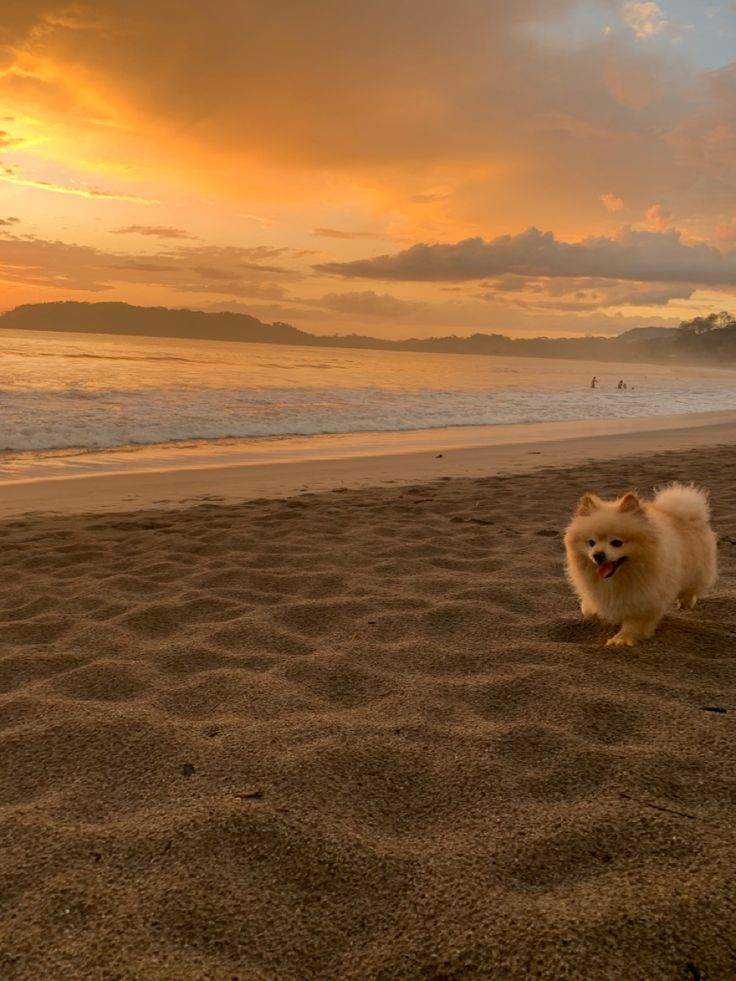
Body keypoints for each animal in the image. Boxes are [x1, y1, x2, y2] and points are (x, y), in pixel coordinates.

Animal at [568, 480, 716, 644]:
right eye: (591, 543)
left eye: (616, 543)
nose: (598, 555)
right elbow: (588, 609)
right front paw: (592, 610)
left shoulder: (646, 597)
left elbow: (635, 622)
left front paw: (622, 639)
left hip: (696, 570)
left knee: (692, 588)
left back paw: (685, 602)